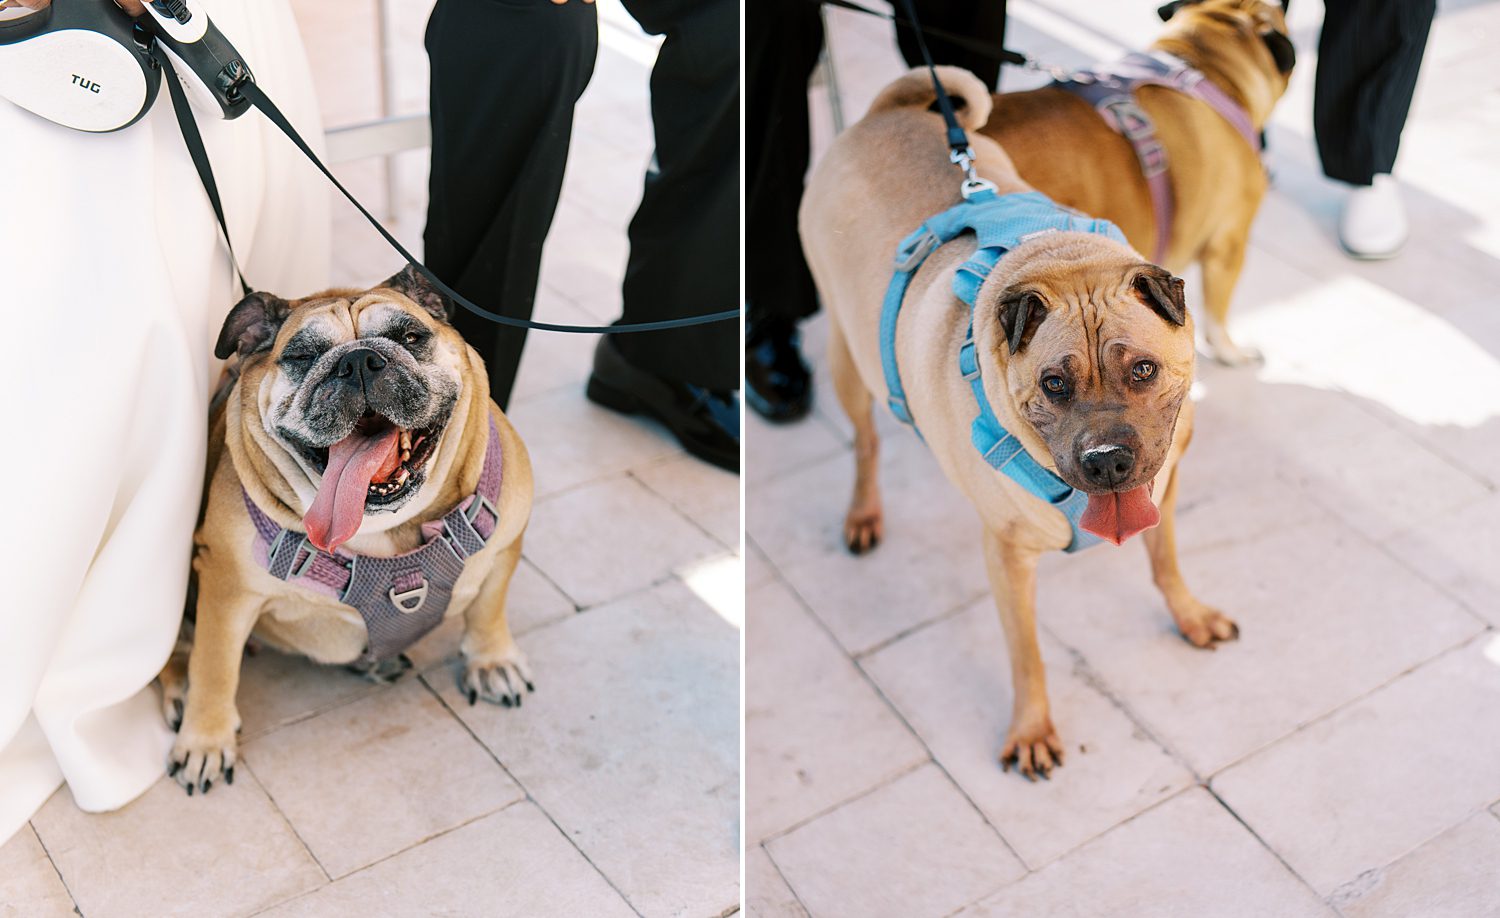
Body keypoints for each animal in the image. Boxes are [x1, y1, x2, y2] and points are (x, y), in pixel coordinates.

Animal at [798, 57, 1230, 780]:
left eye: (1143, 370)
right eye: (1054, 385)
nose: (1108, 460)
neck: (1059, 262)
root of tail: (887, 112)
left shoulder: (1164, 490)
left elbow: (1166, 560)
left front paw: (1189, 614)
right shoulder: (1009, 560)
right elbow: (1027, 654)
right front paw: (1031, 728)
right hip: (847, 358)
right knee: (864, 443)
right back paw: (864, 511)